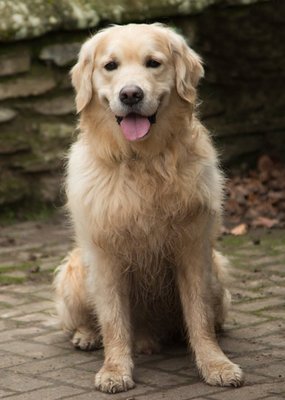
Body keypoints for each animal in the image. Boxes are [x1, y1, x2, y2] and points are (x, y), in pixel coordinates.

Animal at [54, 23, 243, 392]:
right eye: (110, 66)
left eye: (153, 63)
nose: (131, 95)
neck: (143, 161)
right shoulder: (105, 254)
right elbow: (113, 320)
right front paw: (115, 370)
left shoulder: (193, 248)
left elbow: (199, 317)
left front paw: (216, 364)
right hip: (75, 272)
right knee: (86, 320)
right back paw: (86, 336)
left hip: (217, 273)